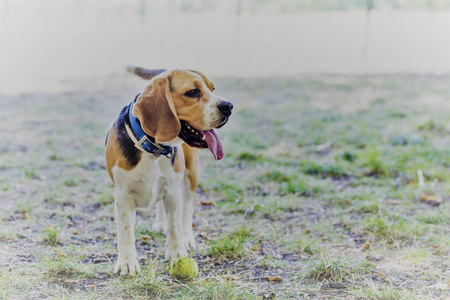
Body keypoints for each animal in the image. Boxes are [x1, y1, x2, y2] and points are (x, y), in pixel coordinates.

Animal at [104, 67, 232, 276]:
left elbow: (174, 223)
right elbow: (126, 230)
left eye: (212, 88)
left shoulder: (173, 191)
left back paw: (186, 237)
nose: (229, 106)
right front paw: (127, 262)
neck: (153, 149)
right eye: (192, 92)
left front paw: (176, 252)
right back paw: (160, 223)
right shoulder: (123, 196)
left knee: (187, 208)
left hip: (190, 174)